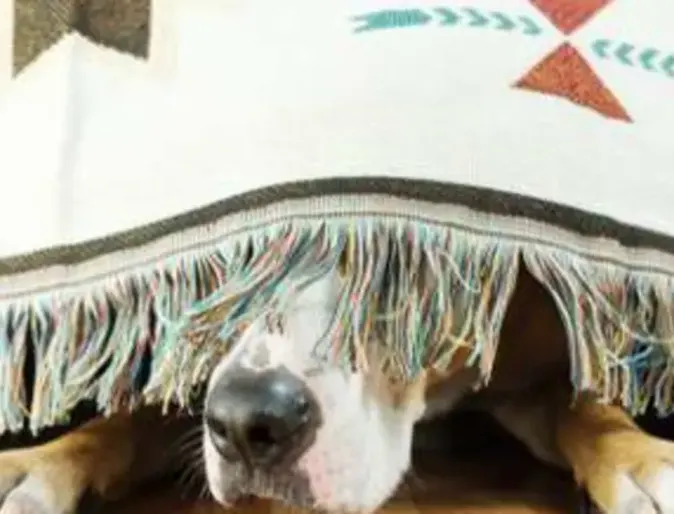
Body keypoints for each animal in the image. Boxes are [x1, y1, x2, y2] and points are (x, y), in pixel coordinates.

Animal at [1, 262, 672, 510]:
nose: (247, 423)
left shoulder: (532, 379)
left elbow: (588, 410)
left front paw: (642, 462)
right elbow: (121, 423)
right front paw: (42, 463)